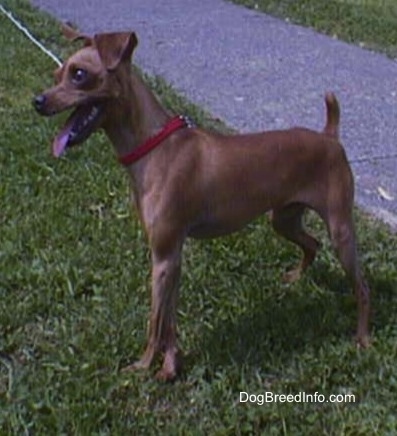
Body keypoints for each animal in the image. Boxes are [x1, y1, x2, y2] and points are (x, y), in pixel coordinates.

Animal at [32, 28, 370, 382]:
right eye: (57, 75)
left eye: (79, 75)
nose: (37, 101)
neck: (155, 147)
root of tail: (329, 136)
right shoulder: (171, 258)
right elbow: (168, 321)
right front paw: (170, 366)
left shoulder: (164, 257)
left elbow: (155, 323)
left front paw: (143, 366)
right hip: (283, 220)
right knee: (312, 243)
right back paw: (295, 278)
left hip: (340, 231)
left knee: (362, 288)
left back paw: (362, 338)